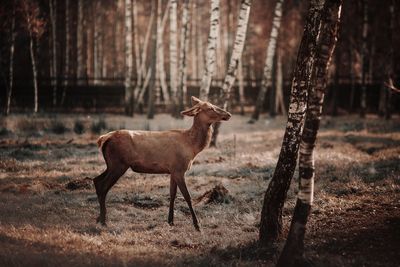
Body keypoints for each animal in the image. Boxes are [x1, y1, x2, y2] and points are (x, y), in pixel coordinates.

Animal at [93, 97, 231, 232]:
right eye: (210, 108)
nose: (228, 114)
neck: (192, 147)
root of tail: (104, 138)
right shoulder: (179, 169)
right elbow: (187, 196)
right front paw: (197, 225)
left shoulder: (173, 170)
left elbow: (172, 194)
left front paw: (170, 221)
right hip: (118, 164)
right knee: (103, 186)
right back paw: (103, 221)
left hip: (111, 164)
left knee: (96, 180)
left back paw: (99, 218)